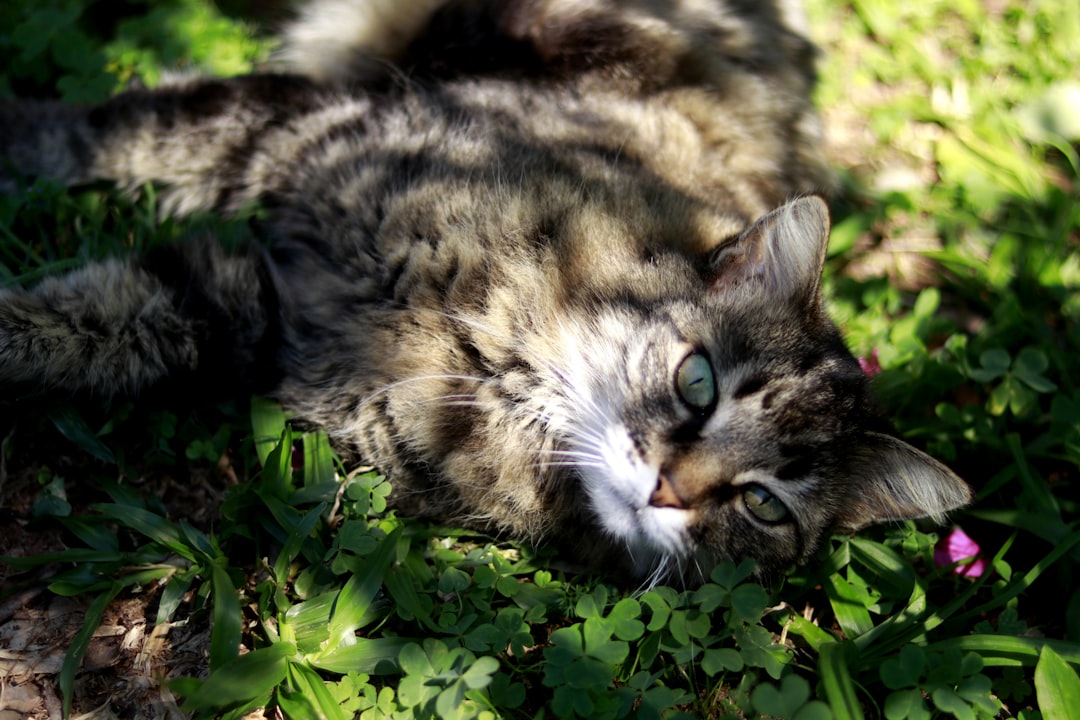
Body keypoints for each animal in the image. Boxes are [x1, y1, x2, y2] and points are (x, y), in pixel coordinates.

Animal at [0, 0, 972, 582]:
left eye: (762, 505)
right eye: (697, 382)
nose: (668, 489)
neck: (489, 354)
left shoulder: (252, 307)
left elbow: (88, 322)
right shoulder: (291, 138)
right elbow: (102, 133)